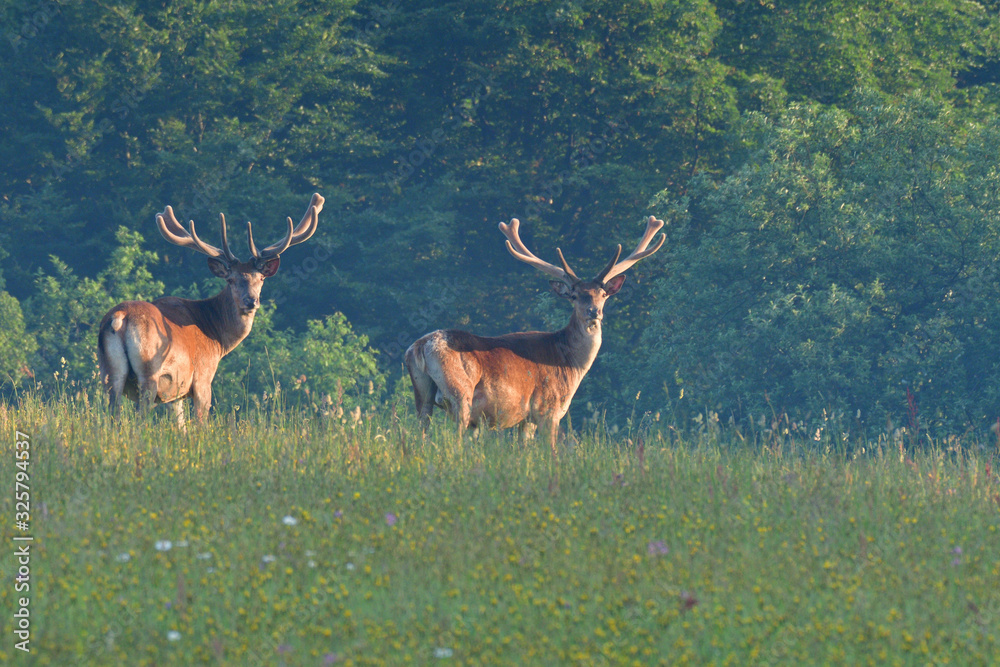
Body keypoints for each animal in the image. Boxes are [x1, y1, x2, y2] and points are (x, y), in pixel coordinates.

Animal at [97, 193, 324, 427]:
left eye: (261, 278)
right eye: (231, 280)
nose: (251, 301)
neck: (216, 337)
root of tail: (120, 317)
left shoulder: (175, 393)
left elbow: (181, 427)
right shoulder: (202, 377)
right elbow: (200, 424)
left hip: (109, 372)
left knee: (112, 414)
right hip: (149, 370)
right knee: (140, 417)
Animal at [405, 215, 665, 455]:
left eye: (603, 294)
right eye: (574, 295)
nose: (594, 312)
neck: (569, 362)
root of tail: (420, 347)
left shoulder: (525, 418)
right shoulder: (547, 408)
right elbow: (551, 451)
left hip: (423, 394)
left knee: (420, 432)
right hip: (460, 393)